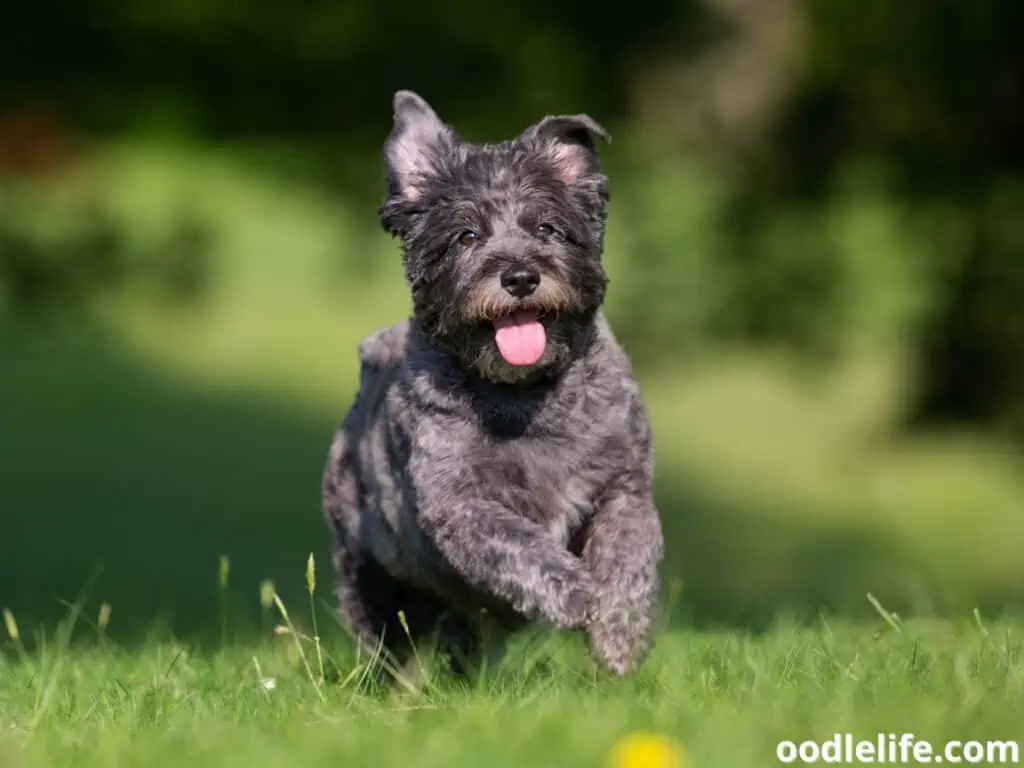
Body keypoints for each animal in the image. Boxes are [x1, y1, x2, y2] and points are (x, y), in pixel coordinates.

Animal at [323, 90, 667, 679]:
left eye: (547, 228)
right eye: (466, 236)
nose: (520, 276)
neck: (527, 396)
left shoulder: (626, 488)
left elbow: (629, 559)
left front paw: (618, 636)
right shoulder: (459, 505)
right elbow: (519, 542)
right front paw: (575, 594)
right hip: (371, 572)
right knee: (391, 638)